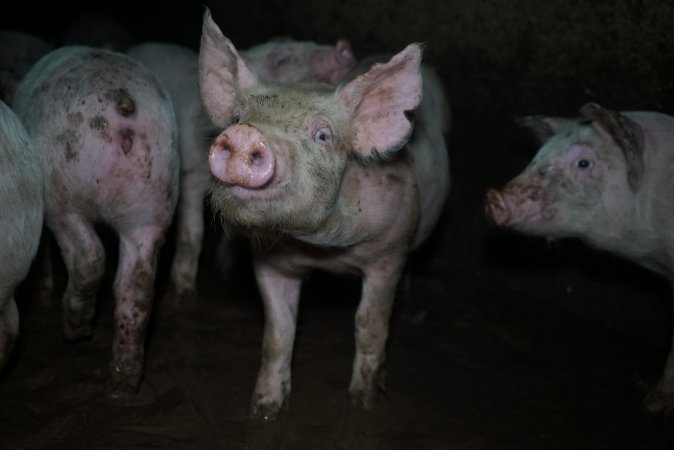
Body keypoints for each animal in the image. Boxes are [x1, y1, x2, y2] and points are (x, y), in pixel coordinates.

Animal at [13, 44, 181, 400]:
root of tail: (123, 104)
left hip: (63, 185)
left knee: (89, 255)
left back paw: (75, 328)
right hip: (154, 195)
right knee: (137, 285)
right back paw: (122, 385)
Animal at [128, 35, 354, 300]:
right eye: (281, 59)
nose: (343, 48)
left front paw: (225, 270)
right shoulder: (190, 173)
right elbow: (192, 234)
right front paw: (183, 294)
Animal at [198, 8, 452, 420]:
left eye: (322, 136)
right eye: (237, 117)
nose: (246, 134)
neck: (322, 251)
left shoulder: (388, 254)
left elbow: (369, 324)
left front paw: (363, 402)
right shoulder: (269, 261)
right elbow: (278, 330)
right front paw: (263, 409)